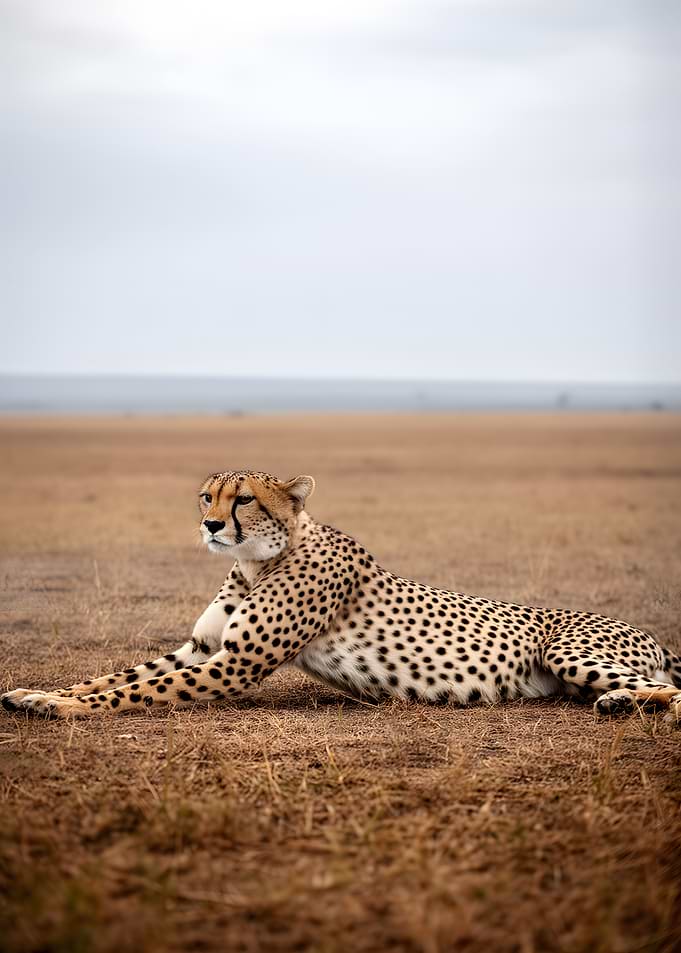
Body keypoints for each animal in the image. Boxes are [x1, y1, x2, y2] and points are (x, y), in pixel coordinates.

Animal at [3, 469, 681, 723]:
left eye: (243, 499)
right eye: (206, 495)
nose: (211, 525)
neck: (257, 561)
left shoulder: (233, 664)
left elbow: (133, 692)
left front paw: (61, 709)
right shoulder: (200, 648)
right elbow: (111, 676)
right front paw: (35, 692)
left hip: (571, 652)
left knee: (674, 692)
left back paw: (624, 704)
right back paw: (619, 702)